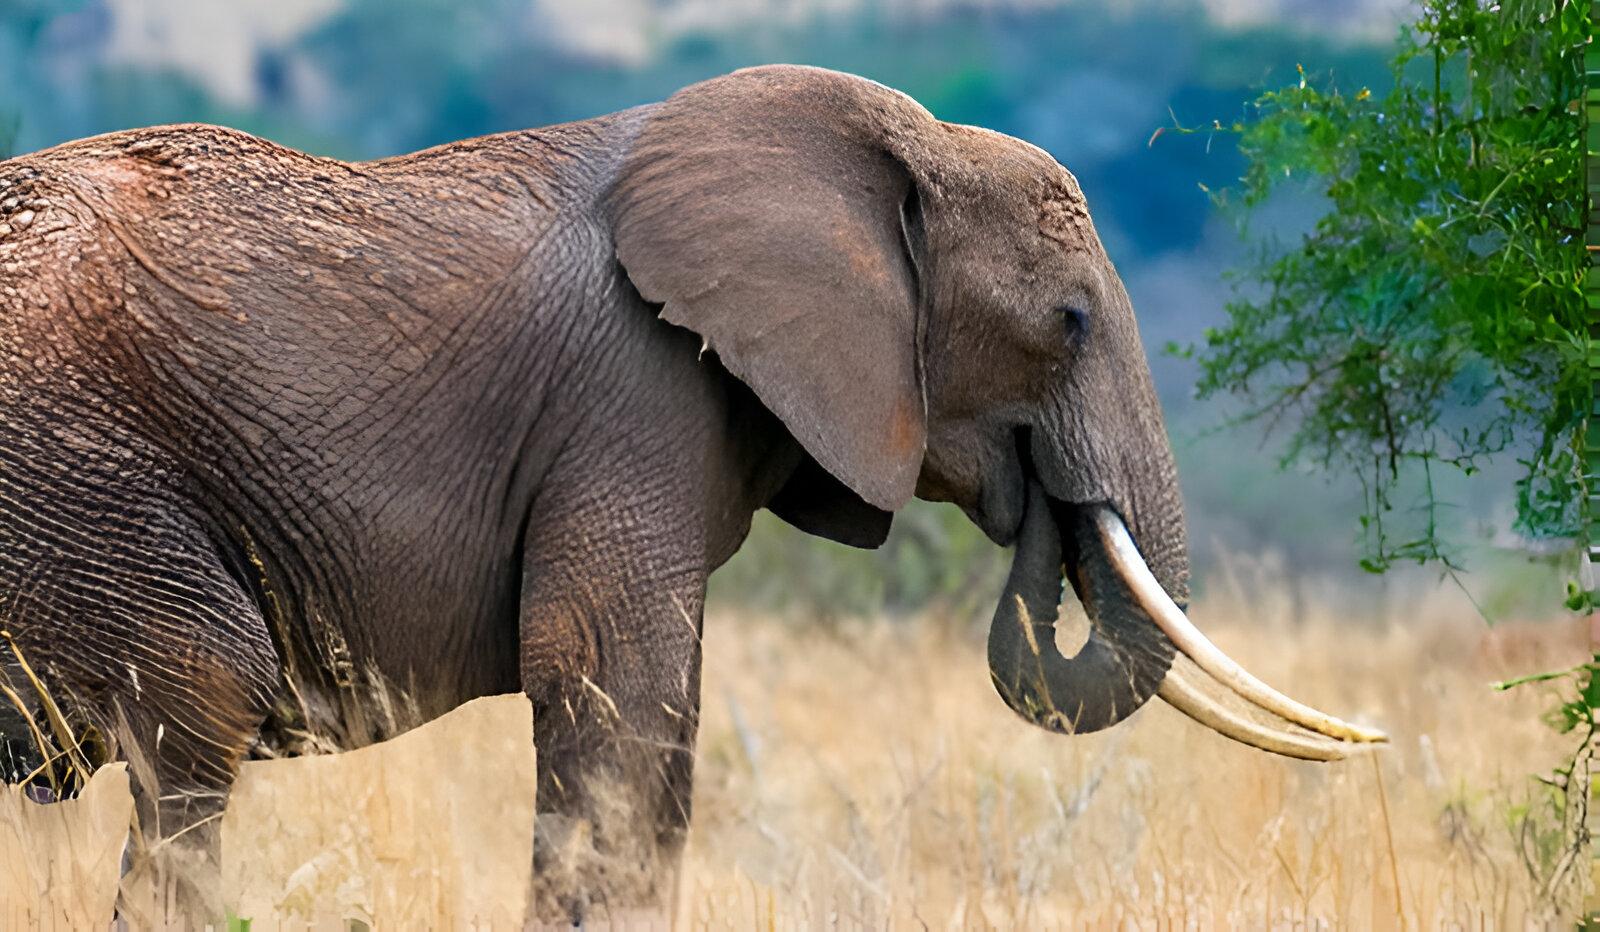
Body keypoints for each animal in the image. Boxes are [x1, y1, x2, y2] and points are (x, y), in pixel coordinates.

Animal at [0, 64, 1383, 921]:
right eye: (1070, 321)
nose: (1038, 501)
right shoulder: (634, 391)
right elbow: (619, 685)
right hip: (75, 475)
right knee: (201, 702)